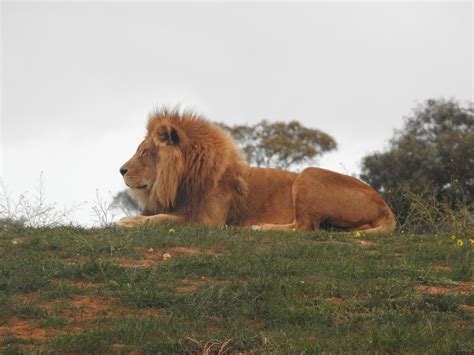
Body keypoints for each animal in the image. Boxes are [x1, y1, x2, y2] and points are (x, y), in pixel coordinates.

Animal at [117, 110, 396, 235]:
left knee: (305, 227)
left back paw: (262, 227)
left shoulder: (208, 221)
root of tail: (384, 204)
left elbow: (162, 219)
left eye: (144, 152)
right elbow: (160, 216)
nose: (121, 170)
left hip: (308, 174)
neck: (184, 178)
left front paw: (127, 222)